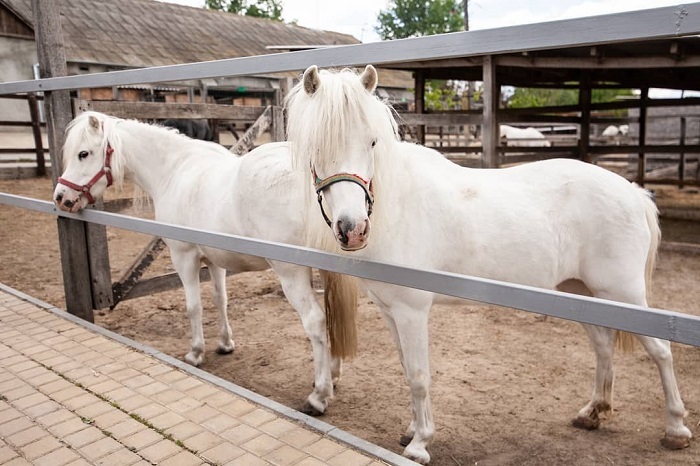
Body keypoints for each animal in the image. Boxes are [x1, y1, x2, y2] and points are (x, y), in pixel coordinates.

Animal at [52, 112, 358, 416]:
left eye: (83, 153)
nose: (60, 197)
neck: (174, 171)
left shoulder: (183, 256)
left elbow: (193, 306)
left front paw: (195, 352)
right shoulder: (214, 260)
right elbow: (220, 300)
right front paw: (225, 343)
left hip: (291, 273)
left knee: (315, 321)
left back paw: (319, 395)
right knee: (331, 317)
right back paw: (333, 374)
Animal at [284, 64, 688, 462]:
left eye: (371, 142)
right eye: (316, 146)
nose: (353, 230)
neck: (396, 206)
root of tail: (632, 192)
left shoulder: (412, 311)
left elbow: (418, 375)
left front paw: (420, 444)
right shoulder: (390, 310)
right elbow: (406, 367)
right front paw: (412, 431)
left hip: (623, 294)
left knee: (661, 351)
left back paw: (676, 429)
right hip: (582, 293)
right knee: (603, 345)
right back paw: (593, 412)